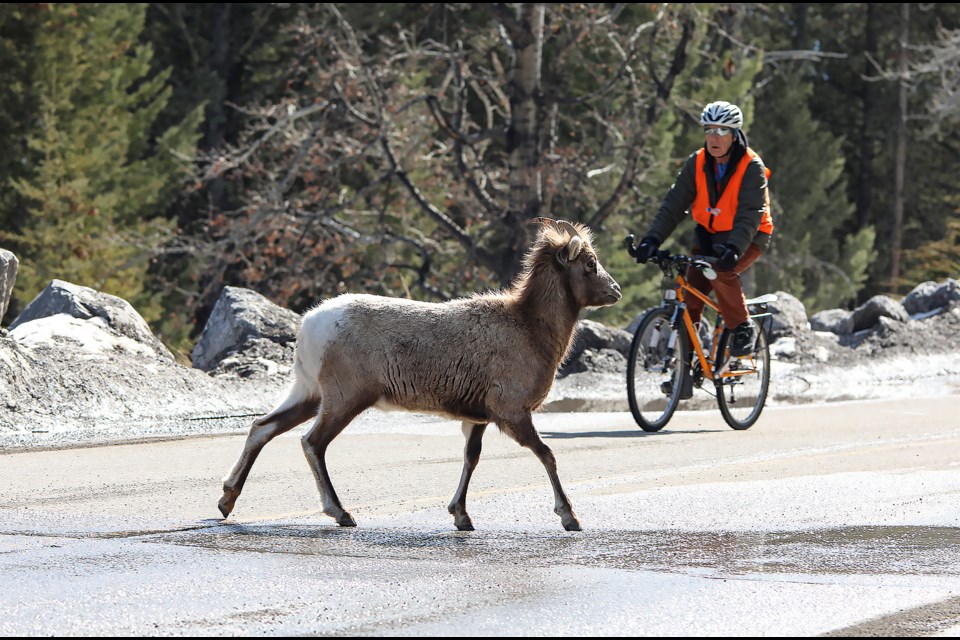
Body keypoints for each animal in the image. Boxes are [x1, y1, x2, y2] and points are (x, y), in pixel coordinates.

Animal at [218, 219, 624, 528]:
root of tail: (309, 326)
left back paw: (226, 502)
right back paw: (342, 514)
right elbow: (547, 455)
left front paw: (461, 517)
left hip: (309, 393)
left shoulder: (477, 418)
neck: (529, 329)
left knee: (262, 427)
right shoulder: (512, 413)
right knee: (312, 443)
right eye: (589, 263)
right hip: (344, 400)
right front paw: (569, 517)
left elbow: (471, 458)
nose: (616, 290)